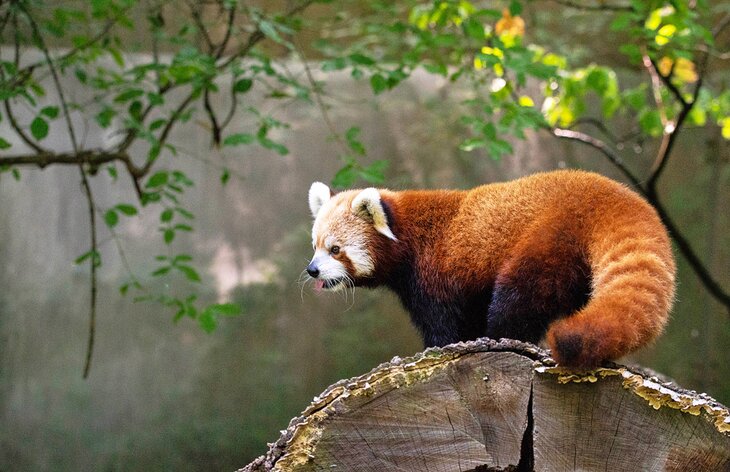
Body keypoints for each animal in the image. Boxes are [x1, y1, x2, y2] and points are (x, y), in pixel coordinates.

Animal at [304, 170, 672, 368]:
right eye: (316, 246)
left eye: (335, 250)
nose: (312, 271)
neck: (408, 233)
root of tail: (611, 196)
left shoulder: (435, 273)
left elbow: (444, 324)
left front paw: (443, 348)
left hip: (548, 241)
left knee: (520, 297)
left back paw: (500, 337)